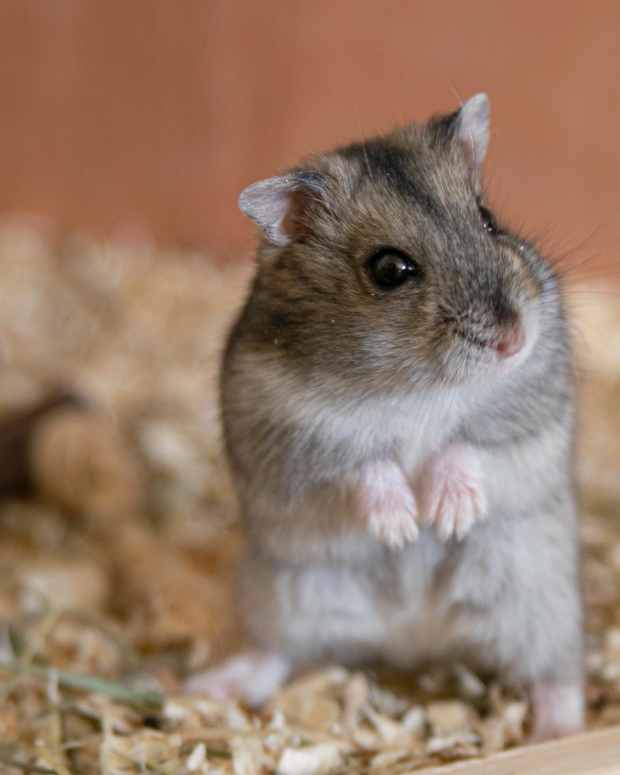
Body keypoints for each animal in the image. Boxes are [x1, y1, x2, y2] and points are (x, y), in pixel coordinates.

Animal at [187, 94, 584, 740]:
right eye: (389, 269)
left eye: (488, 218)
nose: (513, 340)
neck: (417, 387)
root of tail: (414, 640)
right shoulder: (290, 437)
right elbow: (362, 465)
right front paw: (401, 527)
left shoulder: (533, 411)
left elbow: (469, 445)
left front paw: (446, 517)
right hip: (284, 595)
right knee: (274, 654)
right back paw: (204, 686)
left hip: (541, 597)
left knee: (557, 674)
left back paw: (557, 734)